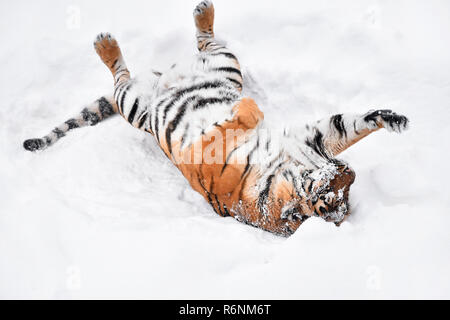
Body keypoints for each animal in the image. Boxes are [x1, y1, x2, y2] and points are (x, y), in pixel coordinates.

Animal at [22, 1, 408, 236]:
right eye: (336, 192)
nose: (348, 171)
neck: (285, 172)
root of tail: (161, 78)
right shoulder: (309, 139)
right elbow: (349, 125)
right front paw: (394, 119)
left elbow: (249, 116)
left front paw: (249, 109)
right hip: (215, 67)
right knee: (190, 46)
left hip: (144, 102)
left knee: (126, 75)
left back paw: (109, 41)